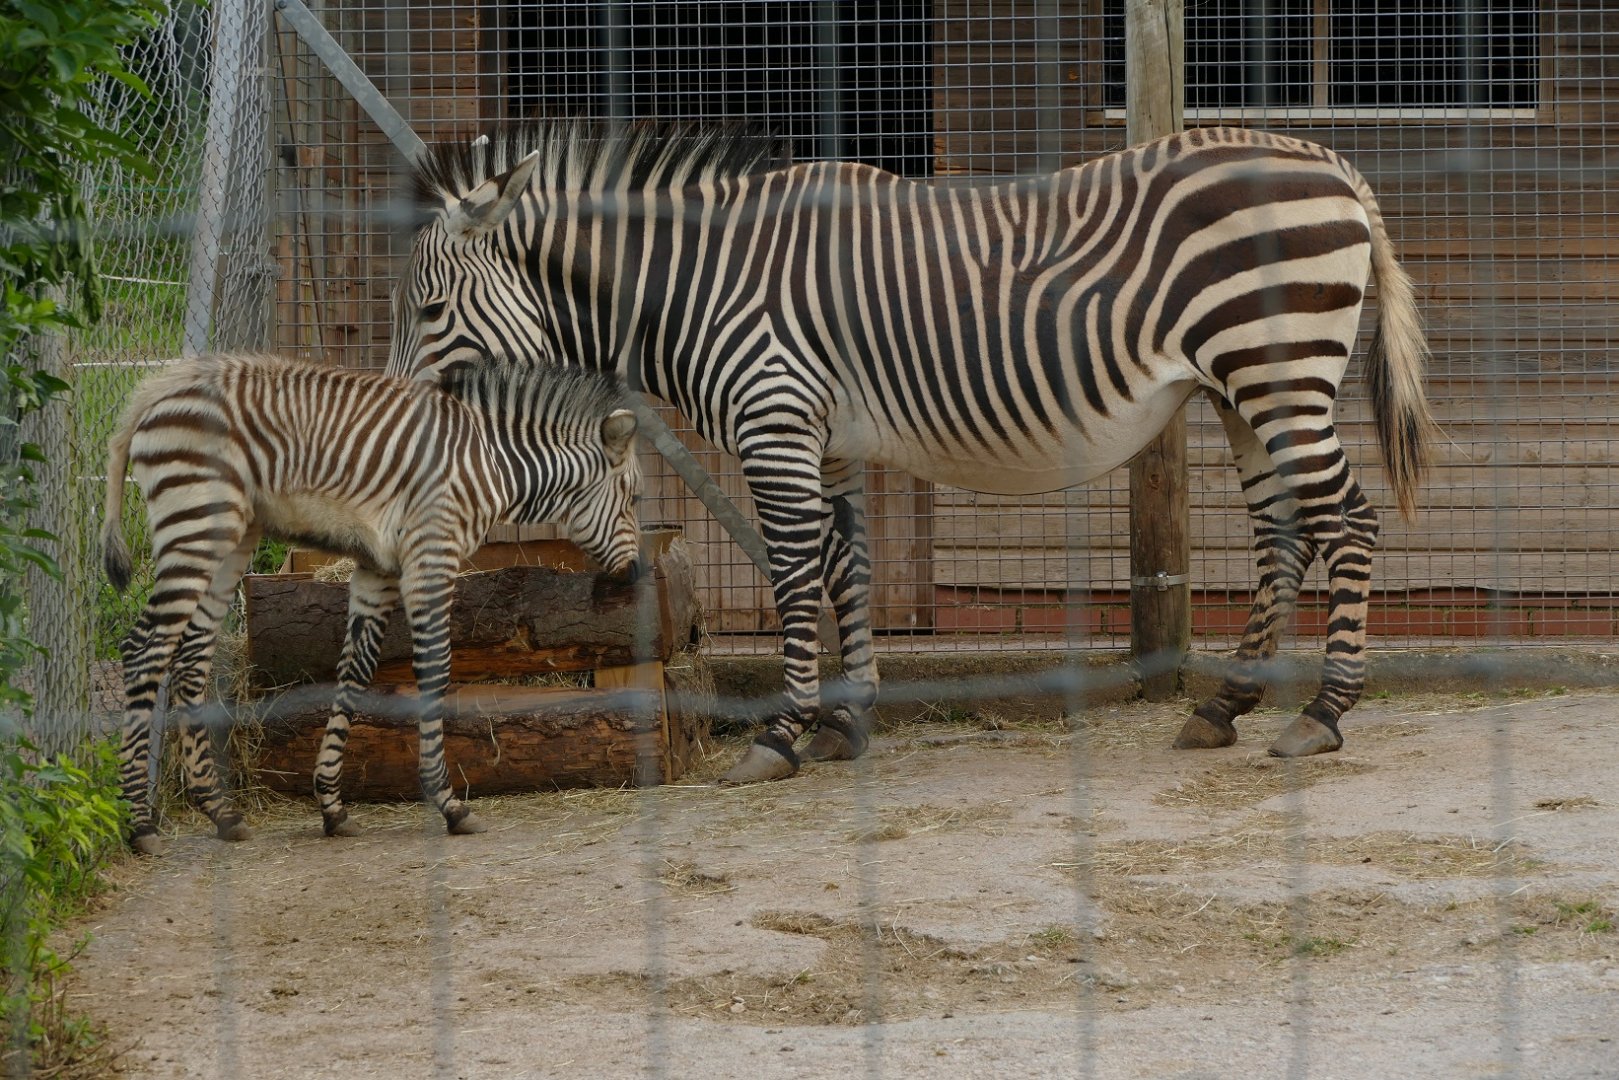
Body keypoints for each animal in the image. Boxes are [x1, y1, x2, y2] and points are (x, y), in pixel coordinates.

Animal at [100, 351, 643, 853]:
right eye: (635, 496)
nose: (637, 575)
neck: (492, 460)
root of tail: (159, 387)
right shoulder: (432, 554)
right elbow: (435, 669)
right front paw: (448, 803)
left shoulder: (378, 569)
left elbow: (355, 671)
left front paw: (331, 805)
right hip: (197, 526)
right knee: (144, 650)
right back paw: (139, 823)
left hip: (231, 539)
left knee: (190, 656)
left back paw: (219, 811)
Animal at [387, 120, 1436, 785]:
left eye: (430, 311)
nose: (397, 421)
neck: (701, 285)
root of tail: (1329, 160)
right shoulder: (826, 439)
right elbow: (845, 567)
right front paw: (848, 720)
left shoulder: (775, 420)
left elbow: (792, 574)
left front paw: (780, 735)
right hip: (1238, 391)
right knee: (1282, 535)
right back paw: (1223, 706)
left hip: (1276, 372)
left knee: (1348, 521)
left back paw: (1321, 715)